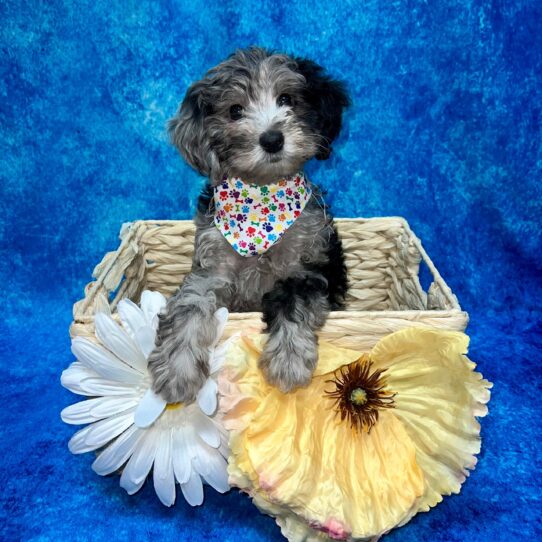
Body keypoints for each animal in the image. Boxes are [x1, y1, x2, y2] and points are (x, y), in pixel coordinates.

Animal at [149, 45, 350, 404]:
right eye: (235, 110)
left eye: (286, 98)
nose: (271, 139)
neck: (261, 201)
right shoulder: (211, 268)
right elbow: (188, 305)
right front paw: (177, 369)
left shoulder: (307, 265)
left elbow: (294, 301)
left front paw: (288, 361)